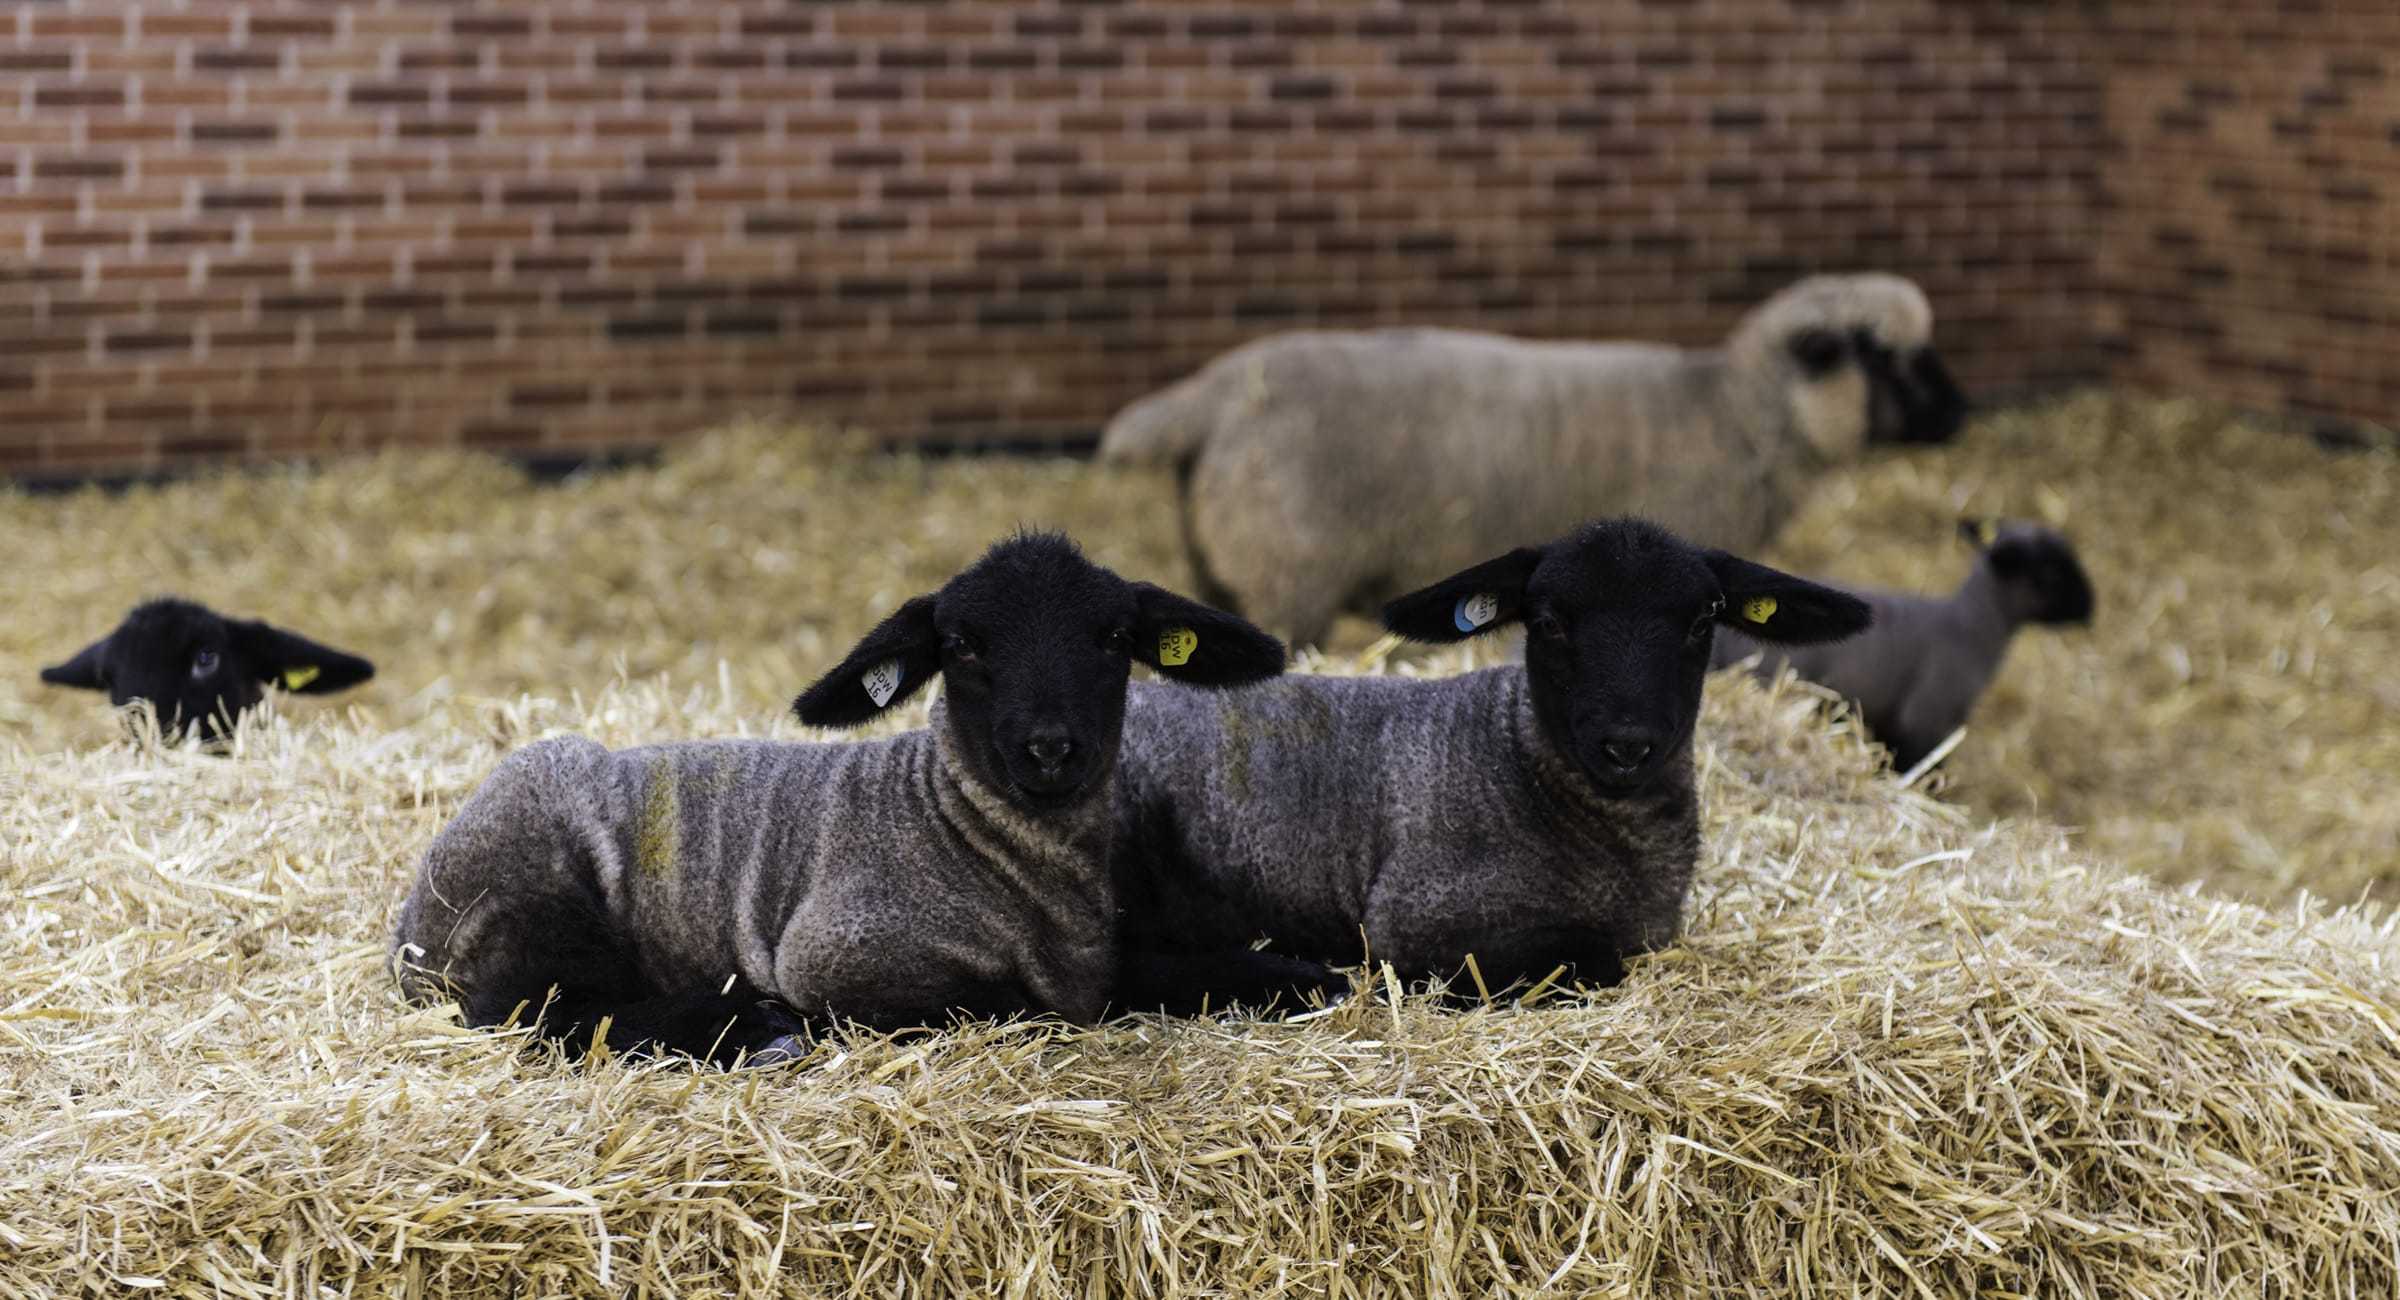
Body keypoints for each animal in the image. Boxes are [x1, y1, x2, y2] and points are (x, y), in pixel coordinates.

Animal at [1104, 518, 1872, 1007]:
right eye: (1550, 622)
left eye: (1702, 621)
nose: (1628, 743)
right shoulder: (1417, 915)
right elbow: (1594, 958)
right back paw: (1297, 980)